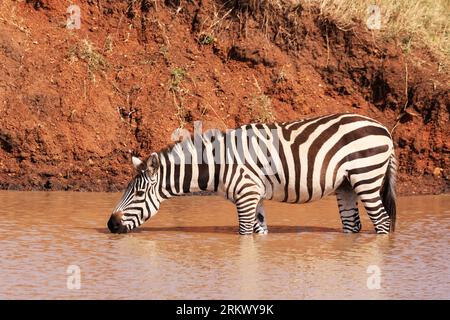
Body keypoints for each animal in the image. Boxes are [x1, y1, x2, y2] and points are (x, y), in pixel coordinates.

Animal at [107, 114, 396, 234]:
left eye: (139, 194)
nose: (111, 225)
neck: (219, 165)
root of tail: (383, 128)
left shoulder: (246, 195)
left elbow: (244, 235)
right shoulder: (255, 197)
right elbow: (259, 233)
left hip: (366, 177)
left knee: (382, 222)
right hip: (346, 185)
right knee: (352, 225)